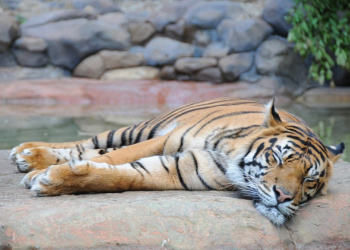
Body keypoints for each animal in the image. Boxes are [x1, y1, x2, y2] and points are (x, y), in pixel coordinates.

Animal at [9, 98, 344, 227]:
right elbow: (119, 156)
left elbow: (121, 174)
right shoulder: (165, 139)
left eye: (309, 180)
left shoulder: (182, 169)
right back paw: (26, 153)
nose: (283, 197)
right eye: (276, 158)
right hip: (141, 127)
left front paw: (50, 179)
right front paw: (41, 174)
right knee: (87, 144)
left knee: (93, 152)